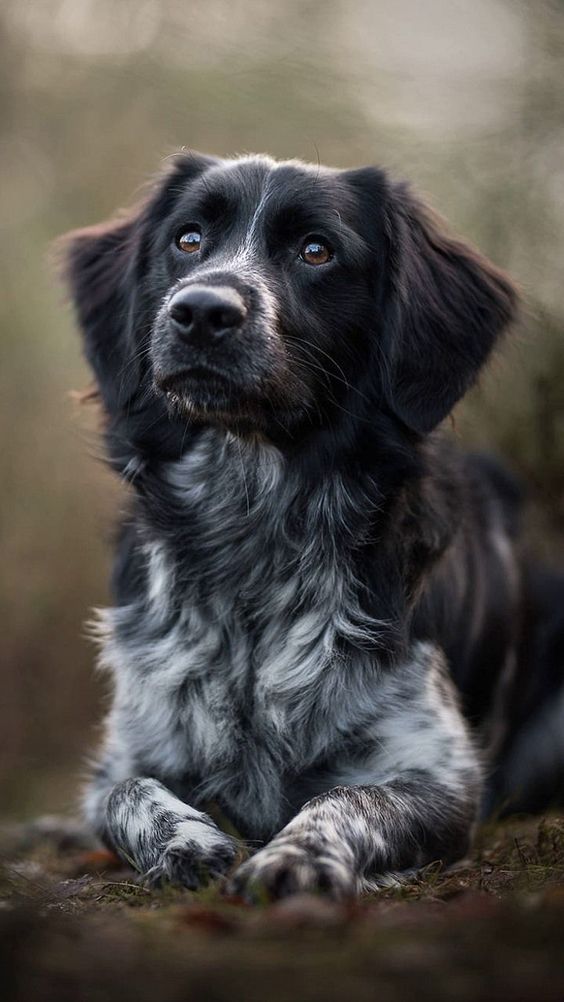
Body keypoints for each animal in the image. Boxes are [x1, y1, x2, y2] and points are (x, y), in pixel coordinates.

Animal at [61, 150, 564, 901]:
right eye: (187, 239)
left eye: (316, 250)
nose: (201, 311)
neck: (251, 525)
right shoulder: (125, 755)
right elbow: (130, 795)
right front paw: (188, 840)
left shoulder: (444, 779)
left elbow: (347, 798)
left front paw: (297, 857)